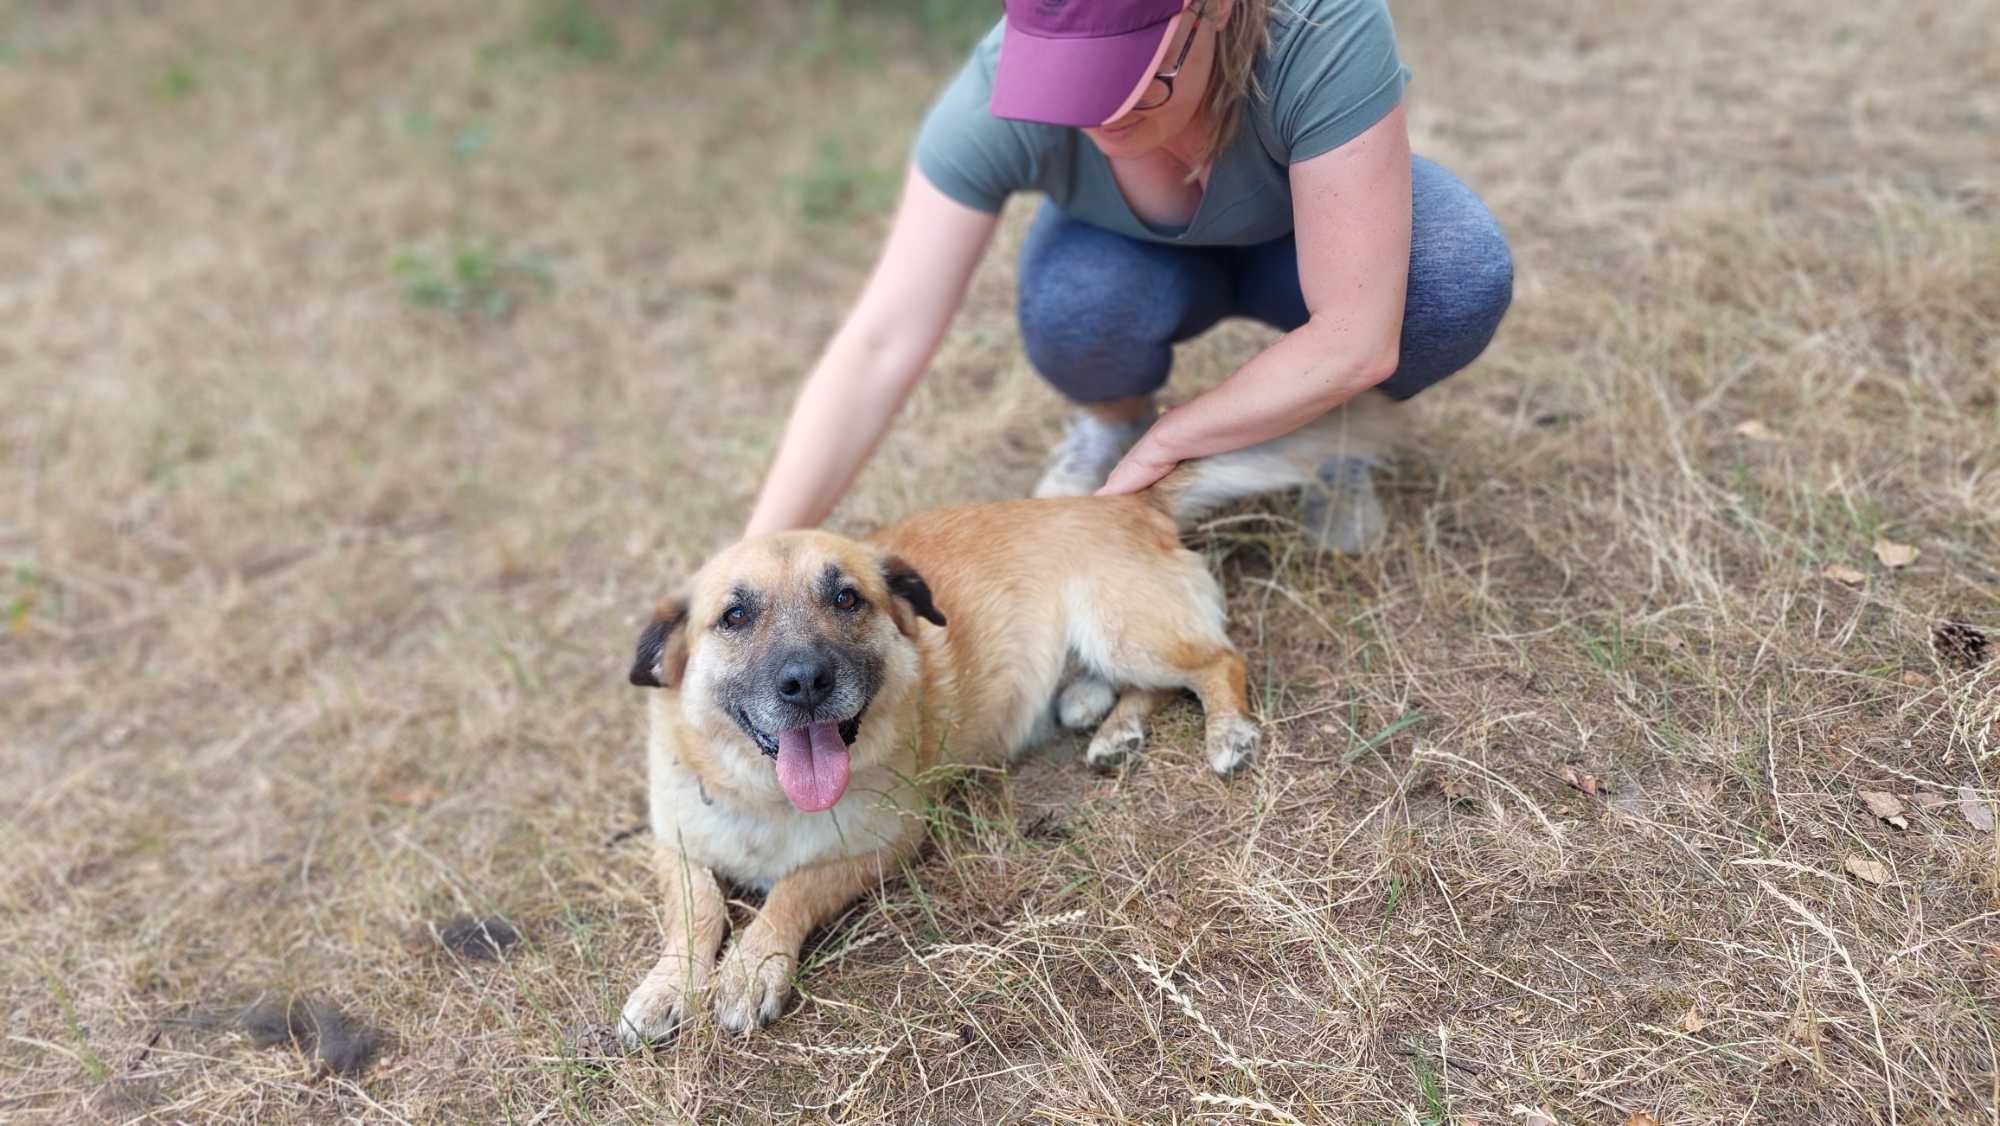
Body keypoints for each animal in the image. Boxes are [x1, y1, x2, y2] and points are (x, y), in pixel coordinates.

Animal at [608, 392, 1392, 1048]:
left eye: (847, 599)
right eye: (735, 616)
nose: (805, 683)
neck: (764, 794)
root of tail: (1126, 504)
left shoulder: (884, 845)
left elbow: (792, 891)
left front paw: (751, 967)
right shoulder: (675, 842)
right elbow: (695, 910)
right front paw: (669, 985)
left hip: (1127, 630)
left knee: (1217, 662)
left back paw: (1225, 731)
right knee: (1147, 687)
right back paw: (1112, 727)